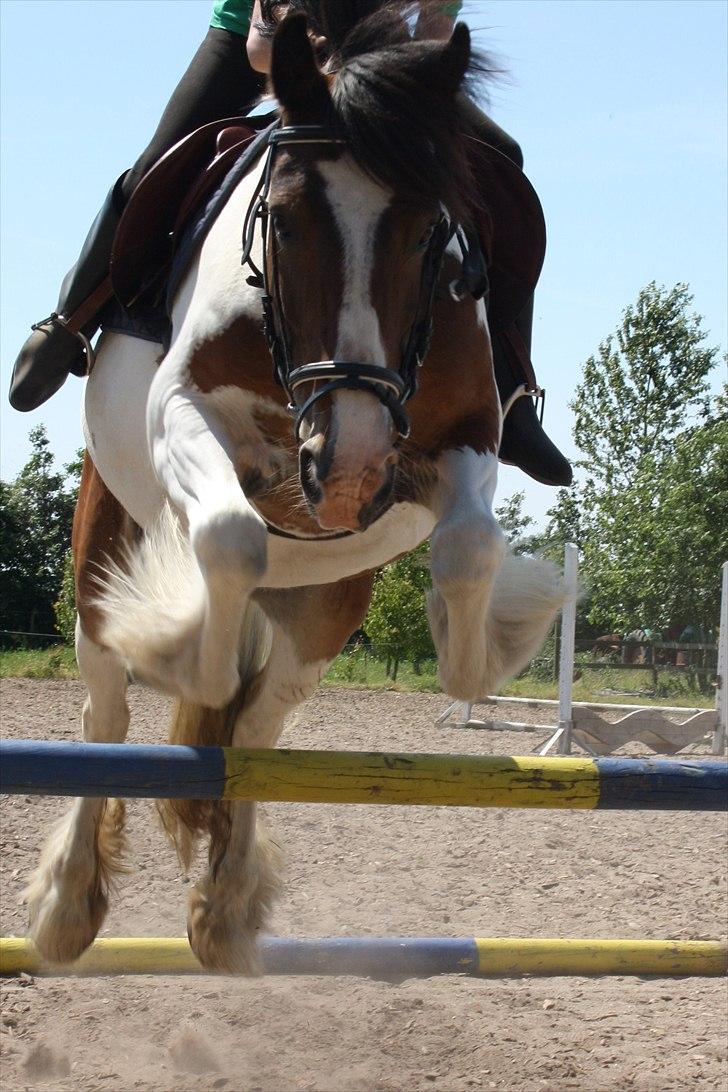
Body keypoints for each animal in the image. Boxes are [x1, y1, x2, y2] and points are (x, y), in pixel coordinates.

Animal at [25, 10, 563, 974]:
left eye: (430, 232)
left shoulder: (467, 437)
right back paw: (67, 905)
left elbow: (471, 553)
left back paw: (226, 907)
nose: (347, 469)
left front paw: (496, 642)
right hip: (101, 547)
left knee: (258, 724)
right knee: (107, 713)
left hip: (328, 604)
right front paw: (175, 639)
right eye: (281, 220)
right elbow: (227, 542)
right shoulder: (184, 412)